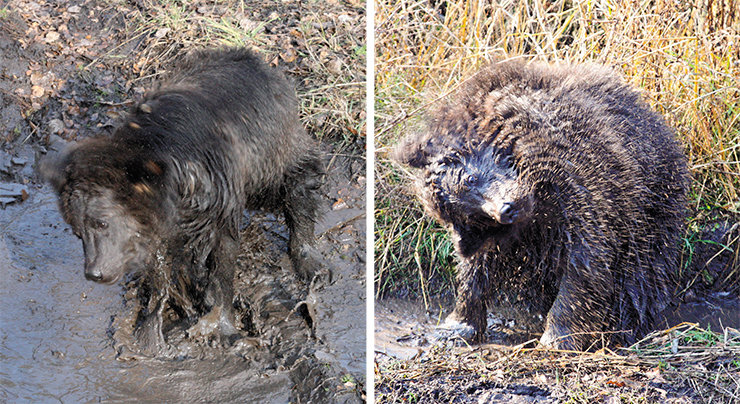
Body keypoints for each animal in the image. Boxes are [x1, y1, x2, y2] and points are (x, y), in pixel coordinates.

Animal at [42, 47, 324, 352]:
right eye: (77, 232)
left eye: (102, 223)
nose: (94, 273)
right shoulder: (164, 227)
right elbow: (162, 269)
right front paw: (151, 331)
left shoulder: (219, 199)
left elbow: (222, 265)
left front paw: (223, 327)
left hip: (272, 153)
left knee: (297, 181)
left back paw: (308, 258)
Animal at [393, 60, 689, 350]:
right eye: (473, 216)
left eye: (471, 178)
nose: (506, 210)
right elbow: (475, 270)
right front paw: (458, 326)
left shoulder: (581, 192)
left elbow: (583, 266)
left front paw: (557, 337)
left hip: (650, 207)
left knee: (640, 271)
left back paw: (627, 322)